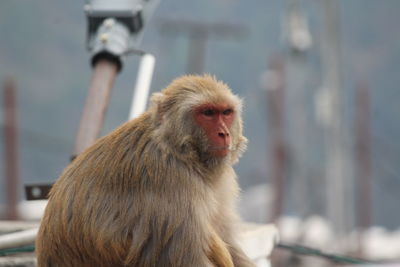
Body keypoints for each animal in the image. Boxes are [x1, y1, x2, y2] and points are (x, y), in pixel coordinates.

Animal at [36, 74, 255, 267]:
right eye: (208, 113)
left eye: (226, 113)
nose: (224, 134)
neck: (178, 149)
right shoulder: (171, 181)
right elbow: (185, 259)